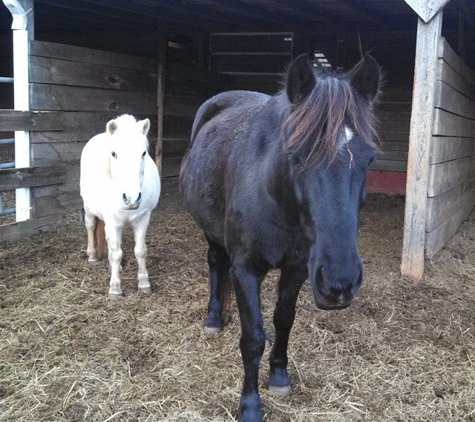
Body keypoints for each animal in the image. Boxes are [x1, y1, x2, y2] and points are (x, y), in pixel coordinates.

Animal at [80, 112, 162, 296]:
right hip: (88, 207)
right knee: (90, 225)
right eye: (114, 153)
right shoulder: (112, 221)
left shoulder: (143, 219)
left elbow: (140, 251)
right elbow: (116, 253)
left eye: (144, 153)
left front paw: (144, 284)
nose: (131, 199)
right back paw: (92, 256)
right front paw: (115, 288)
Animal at [179, 54, 384, 420]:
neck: (275, 198)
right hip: (211, 233)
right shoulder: (246, 270)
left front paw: (278, 376)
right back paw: (214, 317)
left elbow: (283, 321)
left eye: (369, 158)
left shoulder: (298, 268)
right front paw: (249, 406)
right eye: (296, 156)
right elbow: (253, 338)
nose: (340, 282)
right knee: (216, 263)